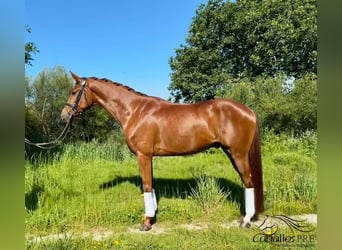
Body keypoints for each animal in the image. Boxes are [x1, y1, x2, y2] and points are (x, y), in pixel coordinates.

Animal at [61, 72, 264, 230]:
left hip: (237, 154)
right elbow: (151, 185)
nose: (64, 115)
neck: (135, 111)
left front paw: (146, 222)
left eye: (73, 92)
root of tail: (248, 111)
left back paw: (246, 220)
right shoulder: (149, 157)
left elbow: (146, 185)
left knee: (248, 181)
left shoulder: (143, 155)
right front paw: (153, 215)